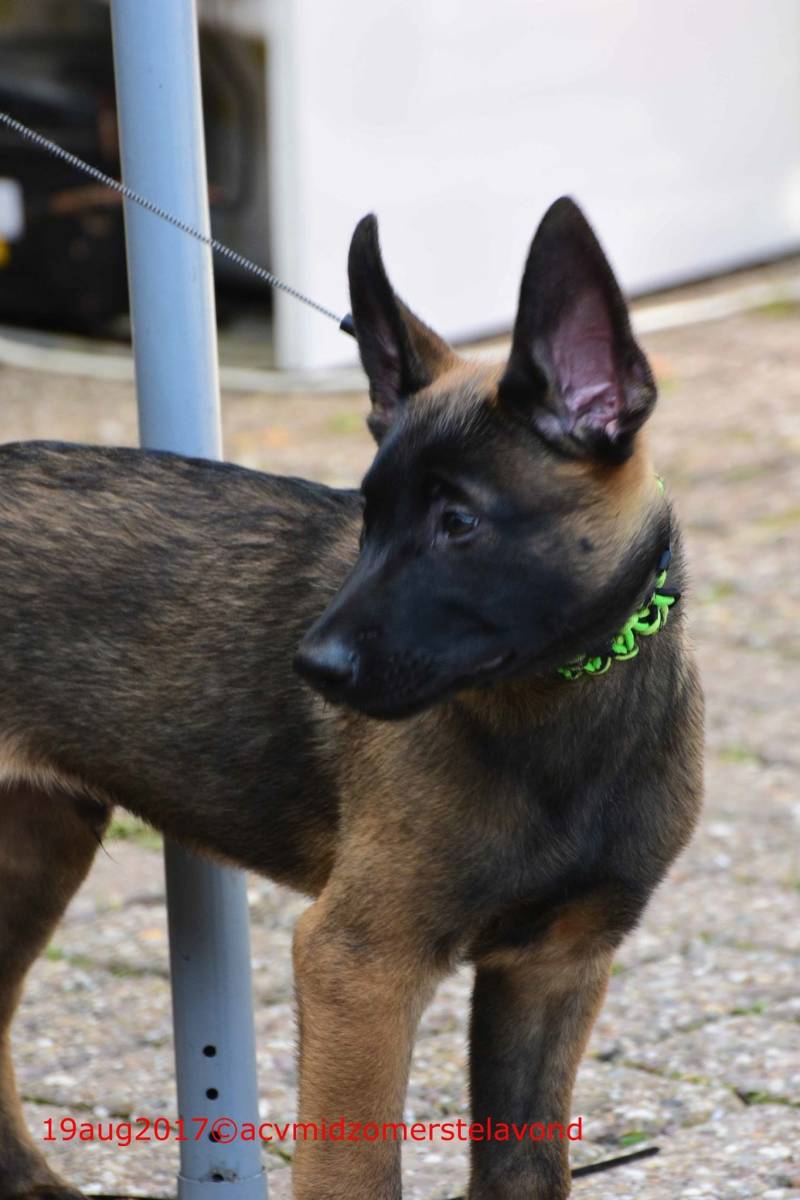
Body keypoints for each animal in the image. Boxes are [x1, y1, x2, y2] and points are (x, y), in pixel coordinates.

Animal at [0, 197, 703, 1200]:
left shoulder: (554, 968)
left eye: (458, 523)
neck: (559, 712)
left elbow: (526, 1171)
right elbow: (356, 1171)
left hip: (38, 845)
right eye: (368, 516)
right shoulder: (359, 962)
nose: (314, 668)